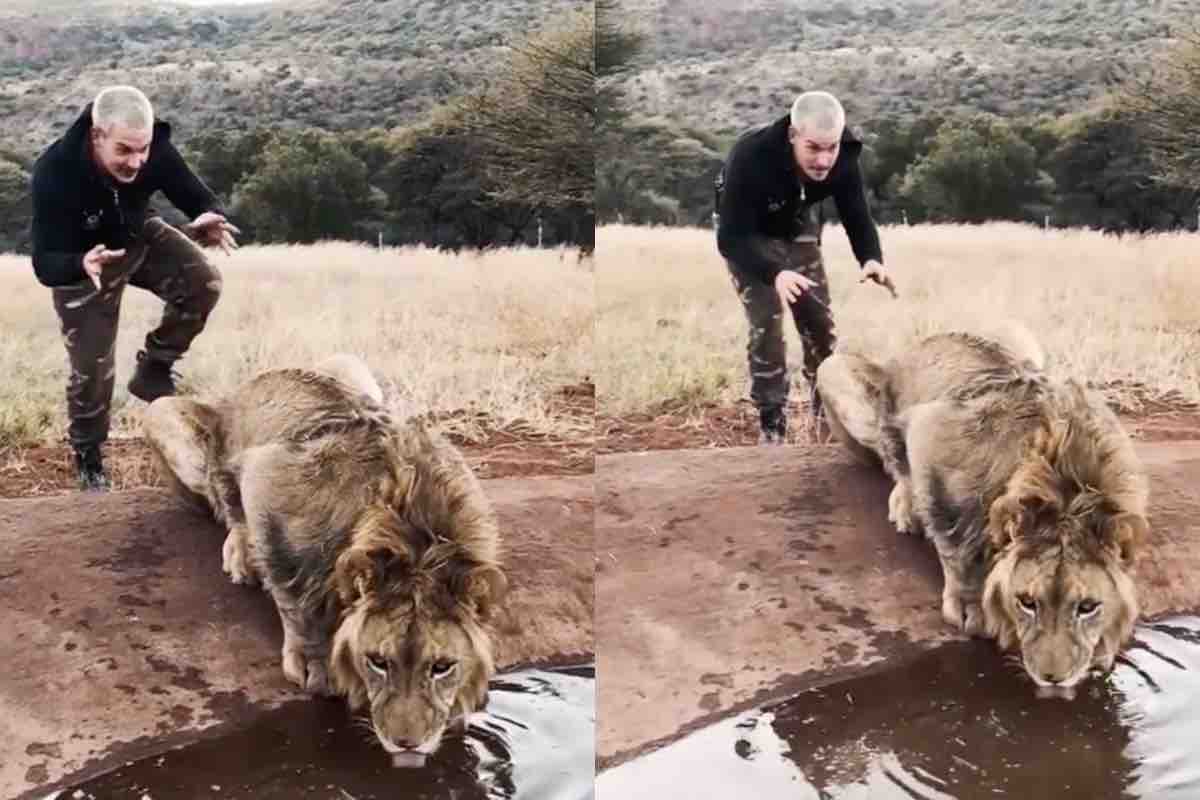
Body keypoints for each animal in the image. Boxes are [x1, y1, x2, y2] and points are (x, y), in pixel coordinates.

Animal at [140, 355, 506, 762]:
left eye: (441, 668)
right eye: (378, 662)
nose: (407, 743)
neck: (418, 539)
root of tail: (250, 381)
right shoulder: (266, 477)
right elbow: (291, 590)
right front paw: (314, 661)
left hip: (349, 361)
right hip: (161, 412)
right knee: (222, 504)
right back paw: (240, 553)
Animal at [820, 321, 1147, 695]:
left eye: (1087, 607)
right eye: (1027, 602)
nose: (1053, 679)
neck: (1068, 489)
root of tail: (922, 341)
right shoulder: (930, 432)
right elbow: (953, 539)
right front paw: (969, 607)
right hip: (832, 368)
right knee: (893, 461)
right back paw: (905, 507)